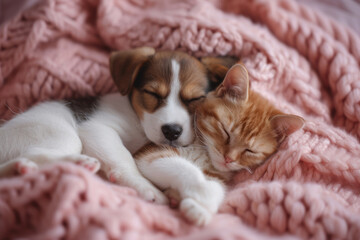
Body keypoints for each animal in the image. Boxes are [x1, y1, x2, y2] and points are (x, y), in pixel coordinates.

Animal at [0, 47, 233, 204]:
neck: (138, 121)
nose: (172, 131)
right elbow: (124, 157)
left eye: (195, 99)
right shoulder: (97, 129)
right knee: (35, 154)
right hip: (60, 135)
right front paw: (145, 187)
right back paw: (77, 163)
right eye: (152, 94)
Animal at [134, 63, 304, 225]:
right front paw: (202, 192)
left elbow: (218, 187)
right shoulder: (150, 153)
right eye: (225, 131)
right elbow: (185, 168)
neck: (204, 153)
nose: (228, 159)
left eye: (250, 151)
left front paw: (201, 209)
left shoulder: (217, 175)